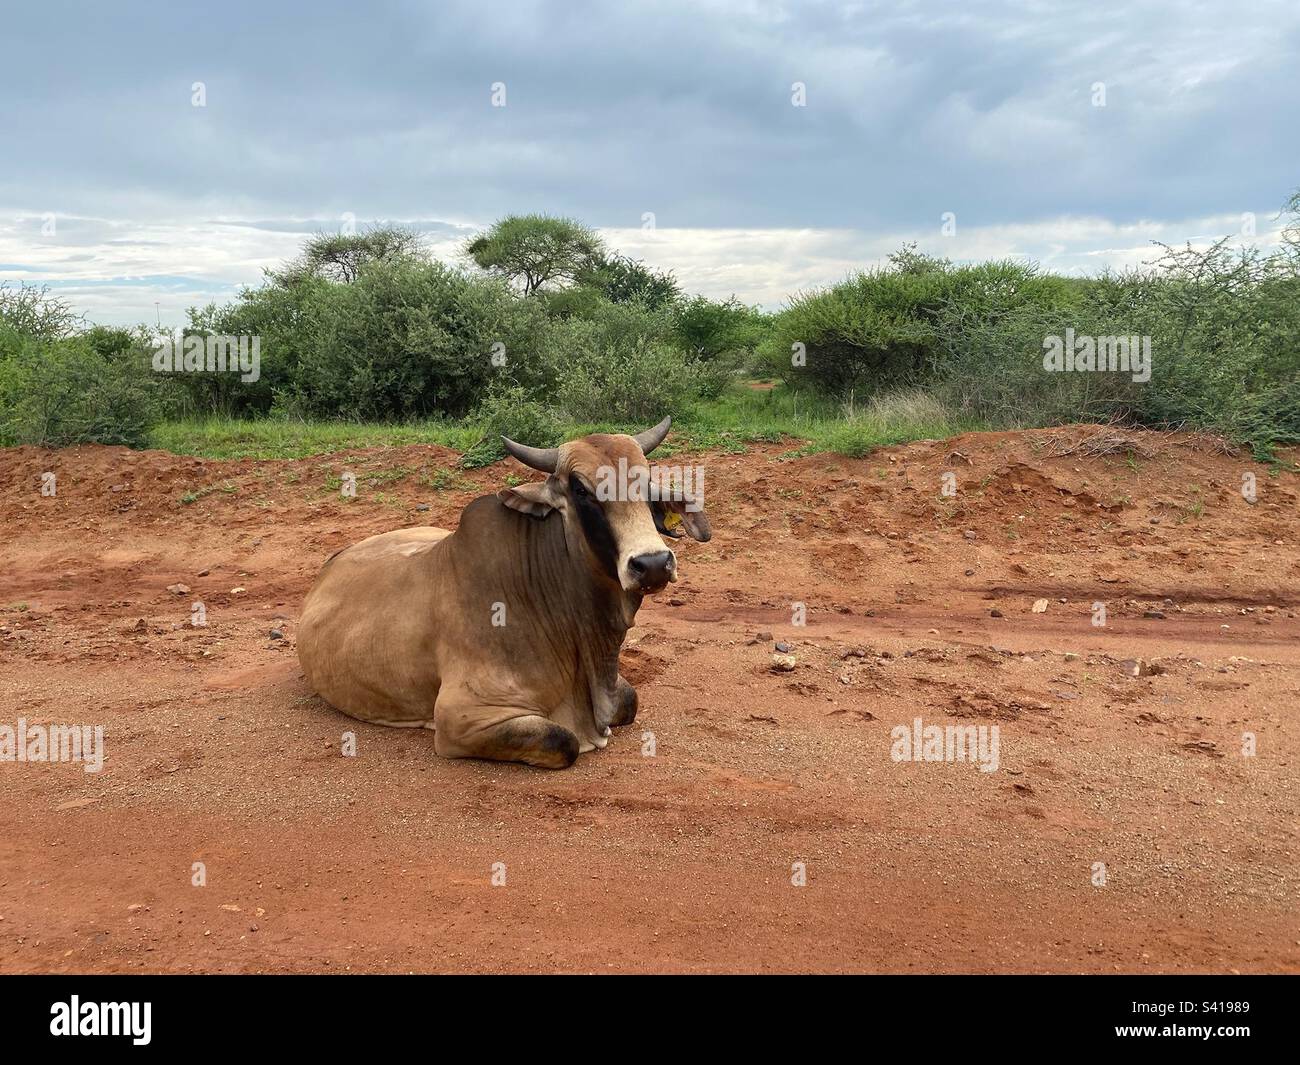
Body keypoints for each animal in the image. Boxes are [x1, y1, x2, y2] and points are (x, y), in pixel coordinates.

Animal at [297, 417, 711, 769]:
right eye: (580, 489)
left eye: (646, 482)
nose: (653, 563)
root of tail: (333, 560)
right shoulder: (461, 718)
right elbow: (563, 741)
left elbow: (630, 700)